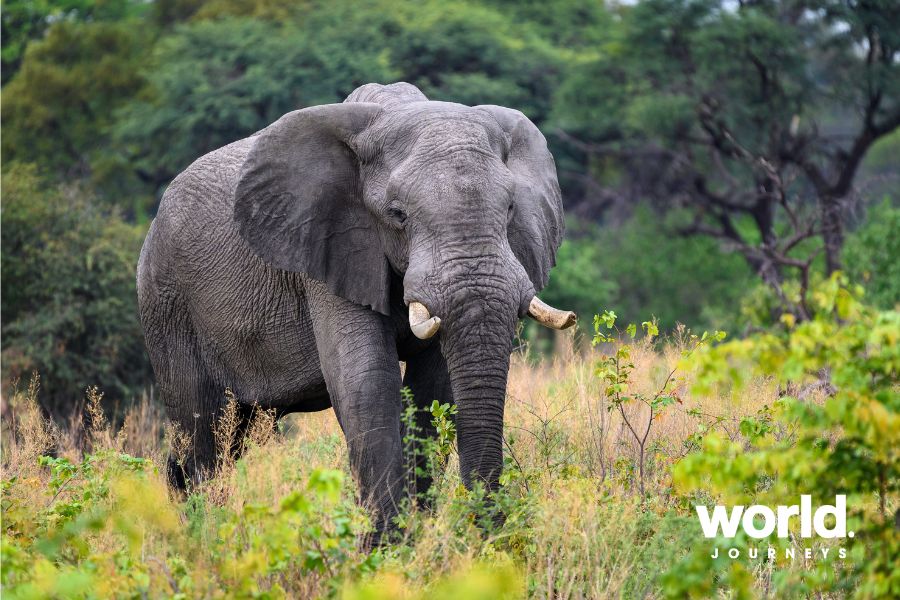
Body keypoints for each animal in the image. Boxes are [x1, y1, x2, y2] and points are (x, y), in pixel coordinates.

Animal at [137, 81, 575, 541]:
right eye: (398, 215)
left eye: (509, 209)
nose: (491, 535)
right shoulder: (327, 247)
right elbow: (367, 380)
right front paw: (387, 546)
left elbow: (434, 388)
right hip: (167, 304)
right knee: (203, 432)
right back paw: (201, 531)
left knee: (227, 437)